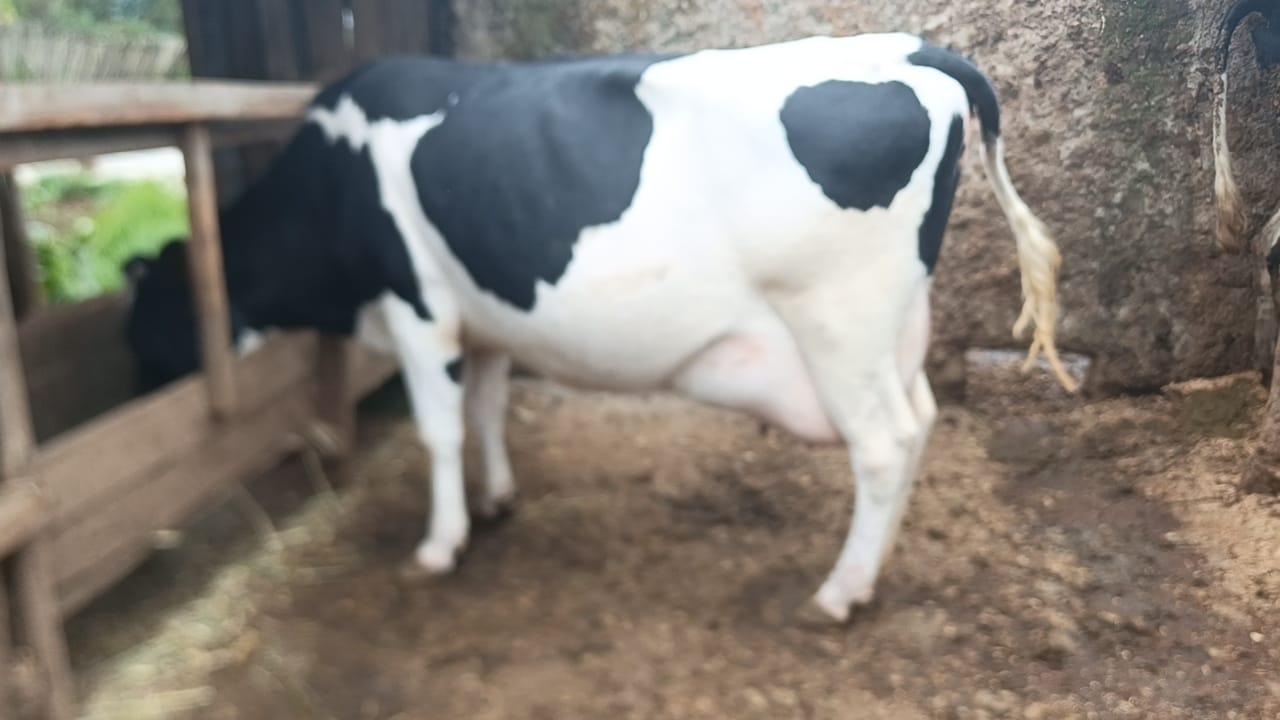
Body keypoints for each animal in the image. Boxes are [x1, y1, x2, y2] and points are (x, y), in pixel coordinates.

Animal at [125, 33, 1073, 623]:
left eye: (147, 323)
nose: (140, 388)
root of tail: (907, 46)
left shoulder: (417, 303)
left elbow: (438, 431)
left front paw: (439, 545)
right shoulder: (487, 315)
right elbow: (487, 410)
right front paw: (498, 498)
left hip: (838, 320)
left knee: (882, 444)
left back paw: (838, 593)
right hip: (891, 325)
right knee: (920, 423)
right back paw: (870, 577)